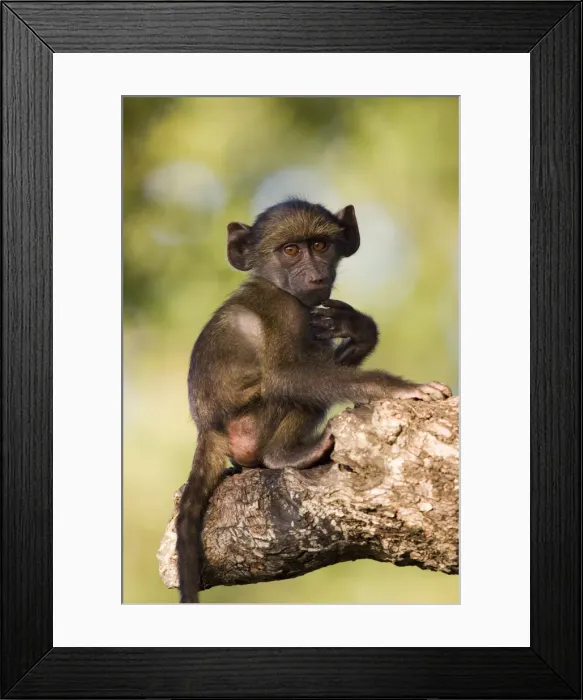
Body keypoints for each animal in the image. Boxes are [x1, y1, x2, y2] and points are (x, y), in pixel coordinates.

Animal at [176, 198, 452, 603]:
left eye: (319, 245)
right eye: (291, 250)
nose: (315, 274)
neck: (275, 283)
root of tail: (207, 427)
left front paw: (356, 327)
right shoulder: (285, 312)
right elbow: (287, 377)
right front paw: (398, 388)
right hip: (251, 425)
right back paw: (285, 454)